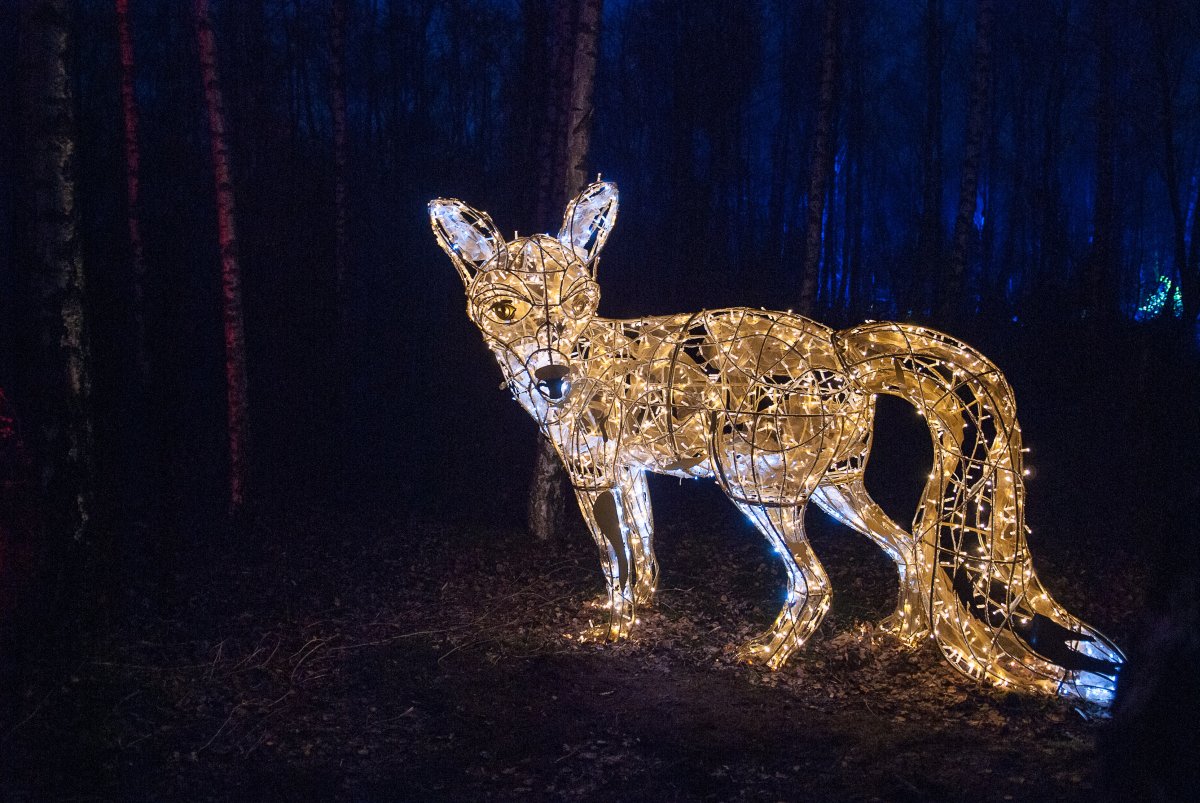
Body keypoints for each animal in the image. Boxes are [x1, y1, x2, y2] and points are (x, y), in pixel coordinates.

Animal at [432, 183, 1123, 705]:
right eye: (505, 309)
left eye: (577, 300)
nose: (554, 379)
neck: (593, 359)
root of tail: (846, 348)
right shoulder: (629, 473)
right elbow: (644, 554)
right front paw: (642, 615)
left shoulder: (593, 475)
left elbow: (617, 565)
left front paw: (613, 628)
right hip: (832, 491)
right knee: (911, 553)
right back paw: (898, 635)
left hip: (760, 492)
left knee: (816, 582)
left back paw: (771, 655)